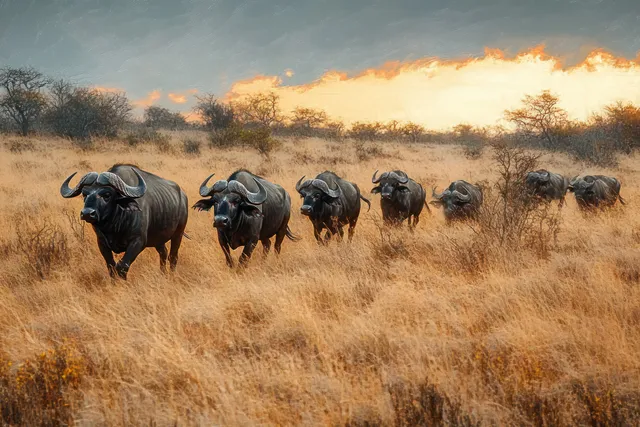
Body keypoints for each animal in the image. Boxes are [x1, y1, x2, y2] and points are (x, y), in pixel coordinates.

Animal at [60, 164, 189, 279]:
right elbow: (111, 266)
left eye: (107, 194)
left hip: (178, 233)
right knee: (163, 253)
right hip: (159, 239)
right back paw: (163, 274)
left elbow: (122, 266)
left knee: (173, 256)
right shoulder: (101, 243)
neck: (115, 225)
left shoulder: (138, 242)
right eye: (84, 194)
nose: (87, 213)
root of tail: (182, 196)